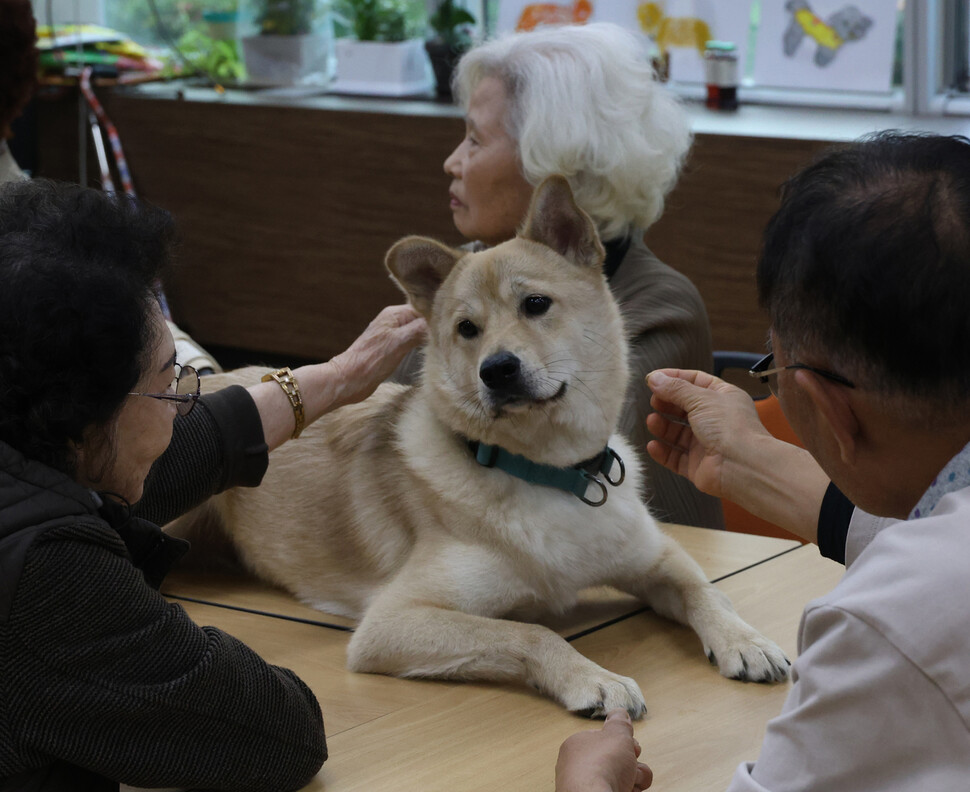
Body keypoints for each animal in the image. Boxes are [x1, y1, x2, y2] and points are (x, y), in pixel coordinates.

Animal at [168, 178, 788, 716]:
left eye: (536, 304)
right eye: (467, 329)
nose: (497, 370)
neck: (549, 471)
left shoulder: (656, 559)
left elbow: (705, 591)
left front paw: (744, 640)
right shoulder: (393, 622)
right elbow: (530, 631)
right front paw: (590, 678)